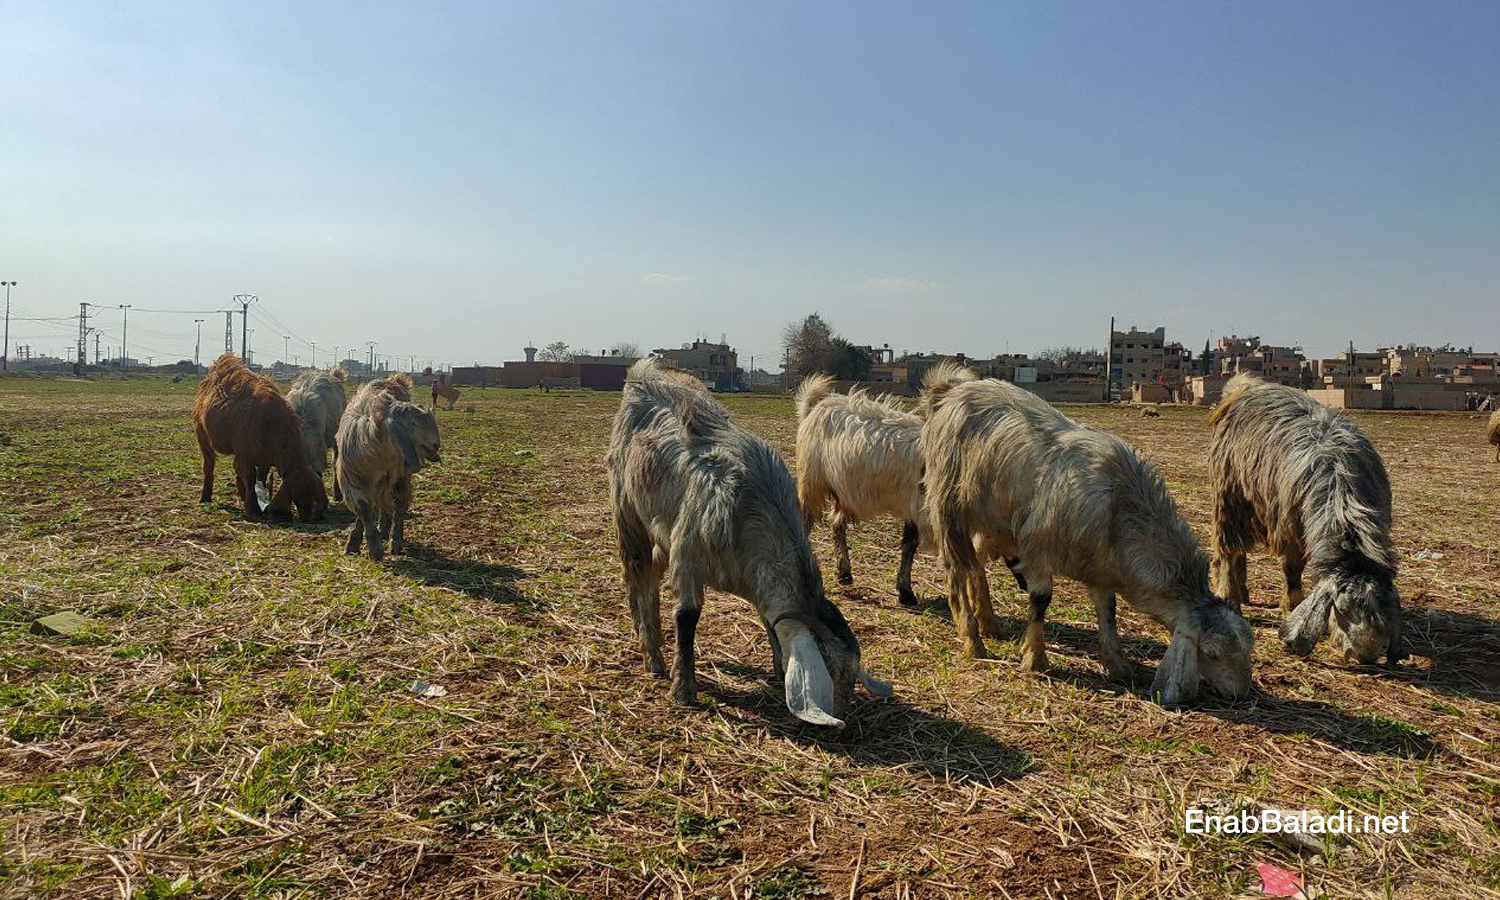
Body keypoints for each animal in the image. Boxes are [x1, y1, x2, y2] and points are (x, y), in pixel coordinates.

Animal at [192, 354, 327, 519]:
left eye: (314, 493)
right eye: (299, 490)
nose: (307, 515)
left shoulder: (264, 458)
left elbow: (260, 478)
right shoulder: (245, 453)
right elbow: (250, 477)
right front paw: (254, 508)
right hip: (201, 433)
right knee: (209, 464)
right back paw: (205, 497)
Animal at [798, 372, 924, 606]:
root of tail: (816, 406)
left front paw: (905, 590)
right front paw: (906, 592)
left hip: (845, 491)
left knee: (837, 523)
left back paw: (844, 573)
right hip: (812, 480)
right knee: (804, 519)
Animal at [924, 361, 1254, 708]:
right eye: (1211, 653)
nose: (1240, 694)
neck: (1121, 507)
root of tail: (951, 390)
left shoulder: (1101, 570)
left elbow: (1108, 612)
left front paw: (1118, 665)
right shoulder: (1039, 550)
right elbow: (1041, 602)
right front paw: (1036, 659)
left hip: (991, 521)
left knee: (975, 563)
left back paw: (988, 621)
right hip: (949, 504)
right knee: (956, 569)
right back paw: (972, 639)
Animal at [1206, 369, 1404, 663]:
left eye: (1382, 611)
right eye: (1341, 609)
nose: (1366, 654)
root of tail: (1245, 388)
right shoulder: (1291, 526)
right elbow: (1292, 570)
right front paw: (1293, 605)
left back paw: (1243, 591)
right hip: (1231, 496)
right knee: (1229, 549)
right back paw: (1231, 597)